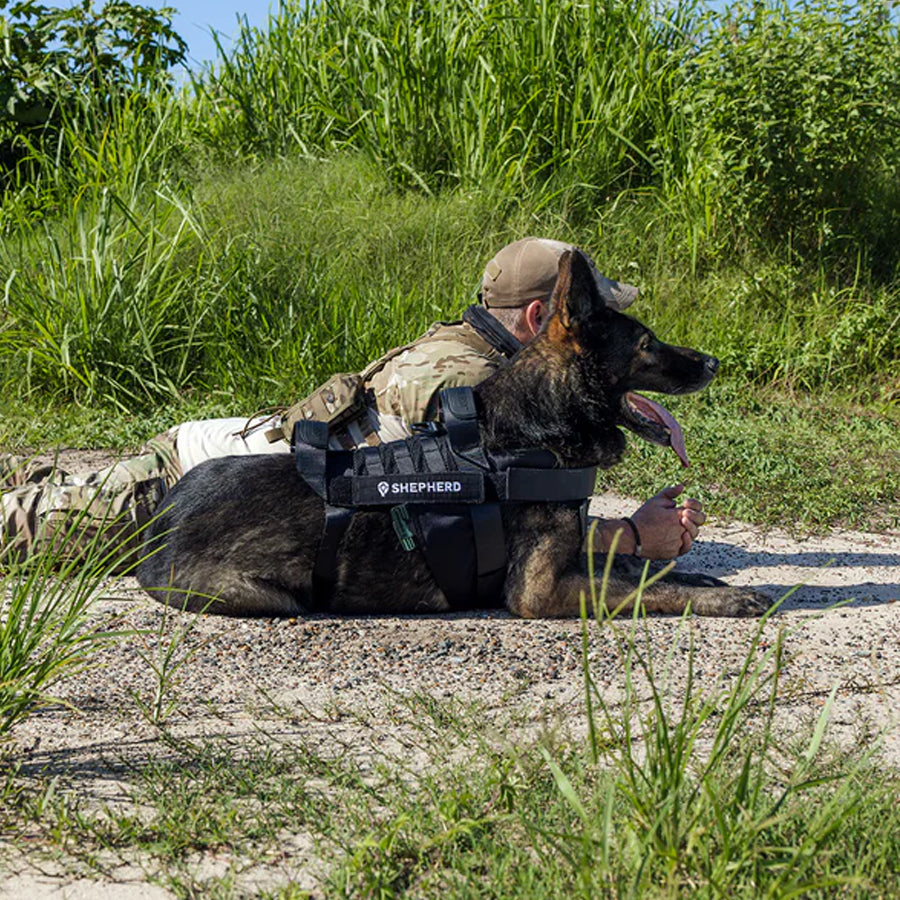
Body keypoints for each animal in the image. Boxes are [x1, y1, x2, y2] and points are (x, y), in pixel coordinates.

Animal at [137, 251, 768, 620]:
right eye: (646, 344)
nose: (714, 363)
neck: (536, 428)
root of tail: (158, 522)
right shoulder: (540, 593)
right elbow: (646, 590)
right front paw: (724, 597)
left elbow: (644, 567)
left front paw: (695, 571)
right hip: (268, 597)